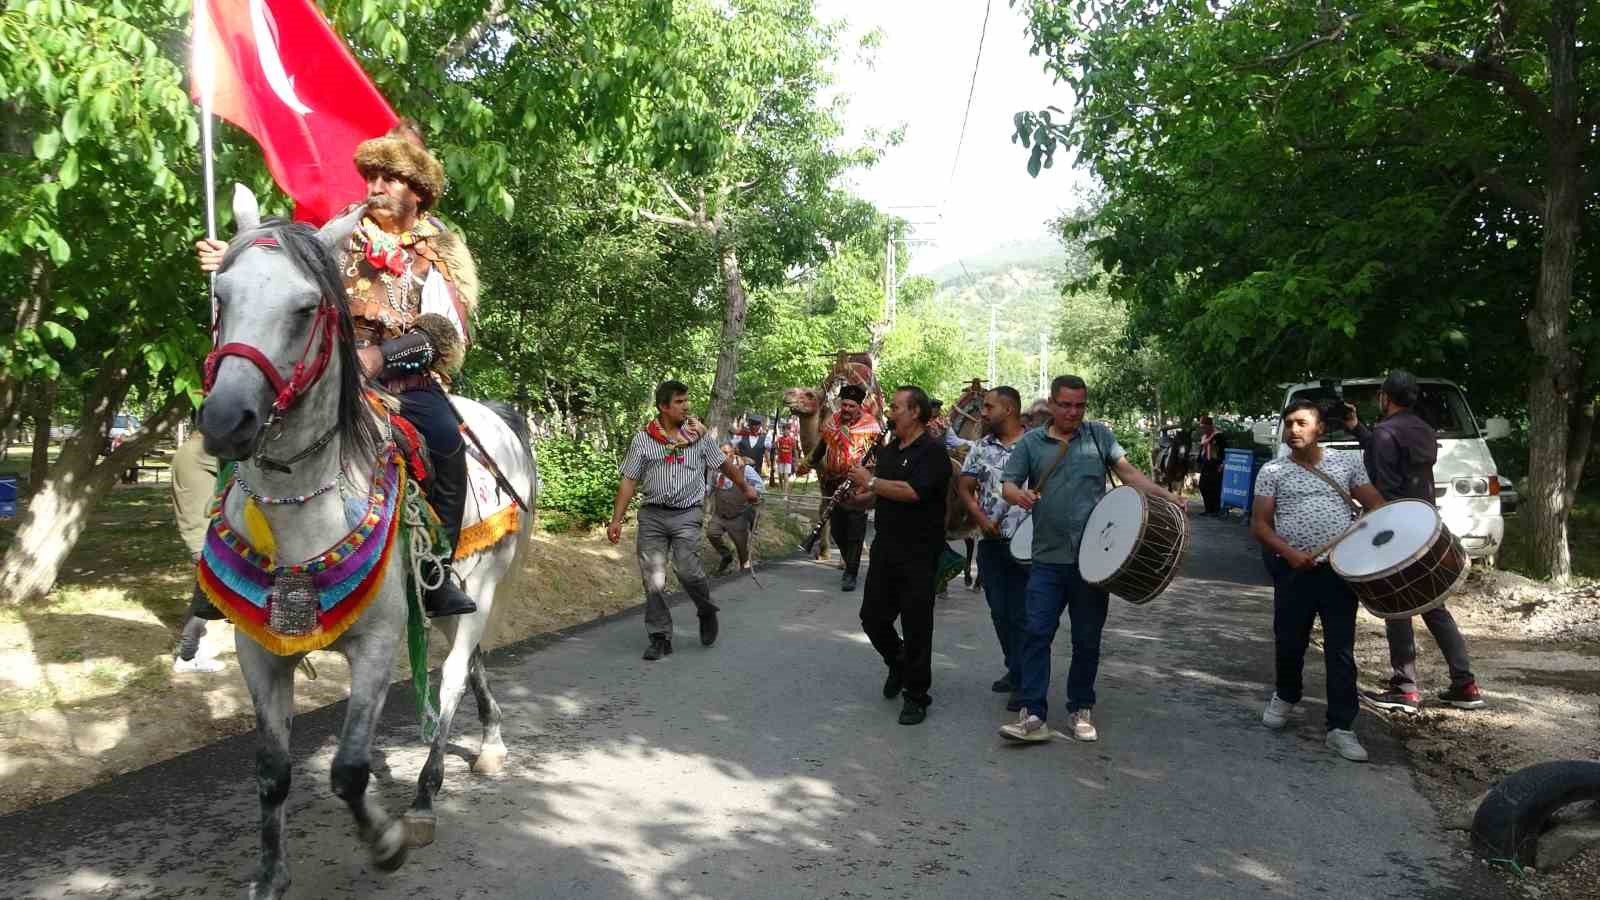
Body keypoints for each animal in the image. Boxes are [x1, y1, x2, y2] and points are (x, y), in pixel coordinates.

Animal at [198, 185, 537, 890]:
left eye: (305, 308)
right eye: (222, 296)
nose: (224, 420)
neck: (303, 511)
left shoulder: (378, 642)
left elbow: (348, 769)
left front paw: (385, 840)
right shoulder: (258, 650)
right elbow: (272, 770)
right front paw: (269, 874)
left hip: (483, 585)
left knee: (454, 677)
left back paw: (431, 793)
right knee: (472, 661)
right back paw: (486, 743)